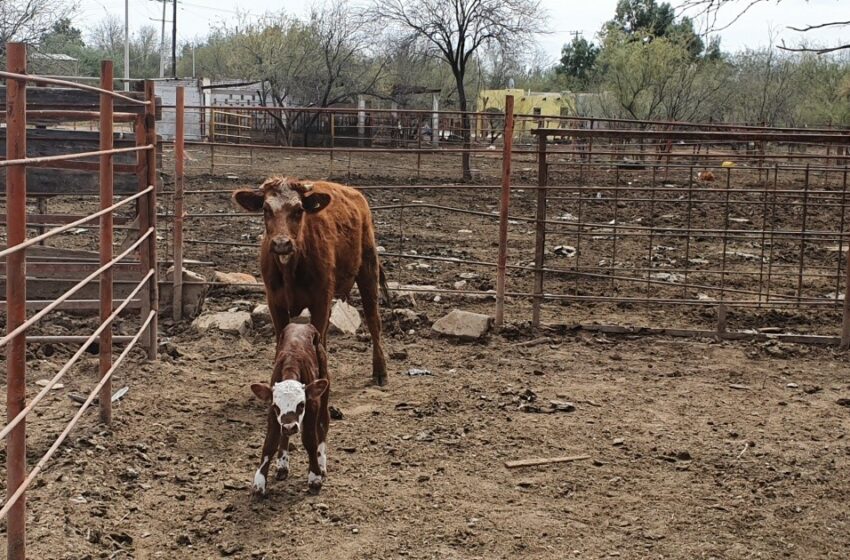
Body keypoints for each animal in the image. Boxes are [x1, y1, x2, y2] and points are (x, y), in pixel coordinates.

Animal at [234, 176, 390, 384]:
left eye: (299, 210)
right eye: (266, 209)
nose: (282, 244)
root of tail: (356, 195)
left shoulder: (320, 299)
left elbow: (318, 342)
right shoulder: (275, 302)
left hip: (368, 269)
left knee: (374, 321)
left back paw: (380, 371)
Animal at [248, 322, 328, 496]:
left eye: (301, 405)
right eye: (277, 406)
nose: (290, 427)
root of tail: (302, 324)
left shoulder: (312, 406)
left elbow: (310, 440)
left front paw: (315, 477)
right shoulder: (272, 413)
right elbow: (270, 443)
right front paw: (259, 482)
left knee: (323, 424)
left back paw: (322, 463)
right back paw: (283, 465)